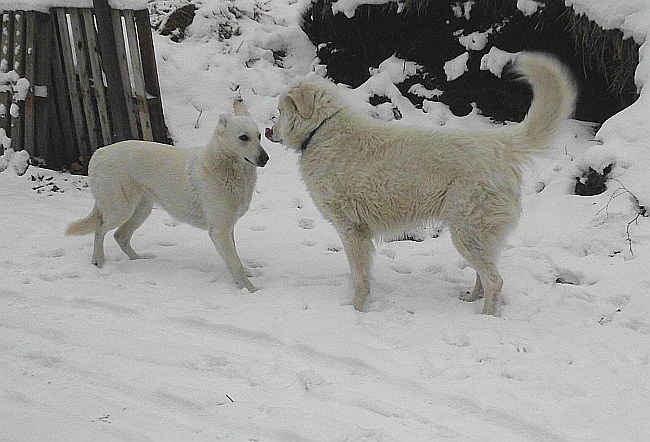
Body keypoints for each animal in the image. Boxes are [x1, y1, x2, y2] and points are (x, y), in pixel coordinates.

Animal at [66, 100, 268, 294]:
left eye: (259, 136)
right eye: (243, 137)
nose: (266, 158)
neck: (227, 165)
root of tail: (99, 153)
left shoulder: (226, 228)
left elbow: (231, 258)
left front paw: (237, 280)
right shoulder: (219, 230)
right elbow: (235, 262)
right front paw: (250, 289)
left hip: (142, 210)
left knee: (120, 236)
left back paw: (138, 259)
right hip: (120, 210)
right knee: (100, 230)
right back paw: (98, 261)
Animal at [266, 52, 576, 314]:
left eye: (280, 110)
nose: (268, 131)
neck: (321, 130)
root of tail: (500, 144)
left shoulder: (351, 230)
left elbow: (360, 278)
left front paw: (357, 310)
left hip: (466, 231)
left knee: (495, 280)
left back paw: (485, 316)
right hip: (477, 235)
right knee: (485, 275)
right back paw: (472, 298)